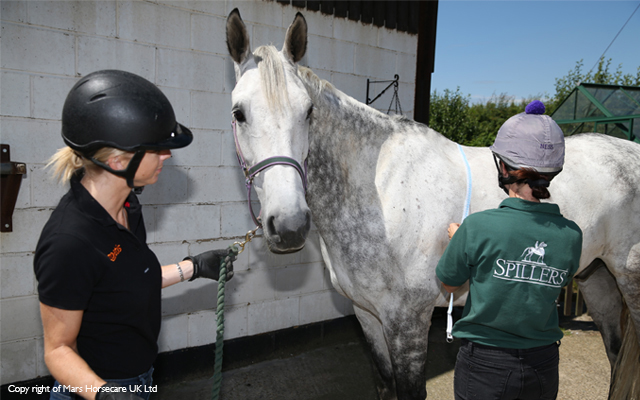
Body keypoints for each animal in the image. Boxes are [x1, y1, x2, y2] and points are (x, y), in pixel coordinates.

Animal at [225, 9, 640, 400]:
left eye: (308, 112)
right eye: (238, 113)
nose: (289, 225)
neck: (379, 195)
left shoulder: (407, 321)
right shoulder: (367, 316)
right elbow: (384, 383)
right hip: (597, 278)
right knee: (616, 354)